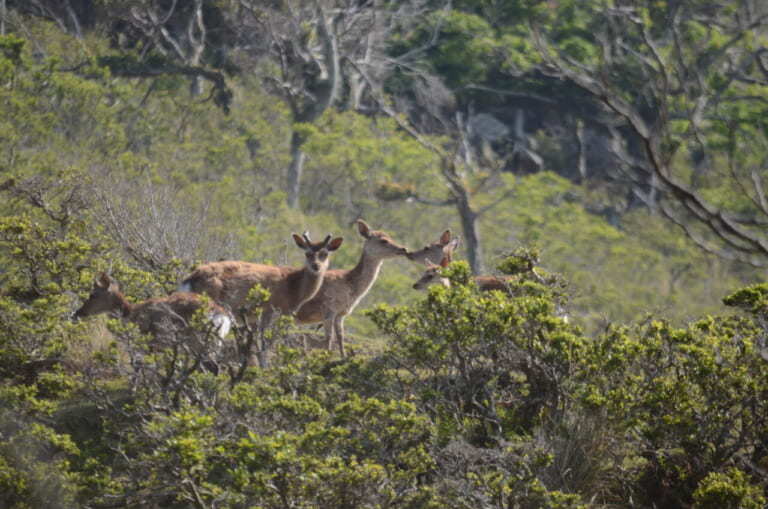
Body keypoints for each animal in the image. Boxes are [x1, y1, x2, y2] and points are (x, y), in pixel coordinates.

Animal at [294, 219, 412, 358]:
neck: (350, 287)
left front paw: (343, 356)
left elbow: (340, 336)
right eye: (383, 240)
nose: (403, 248)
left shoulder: (341, 313)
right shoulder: (328, 309)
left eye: (390, 236)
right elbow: (329, 337)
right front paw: (328, 356)